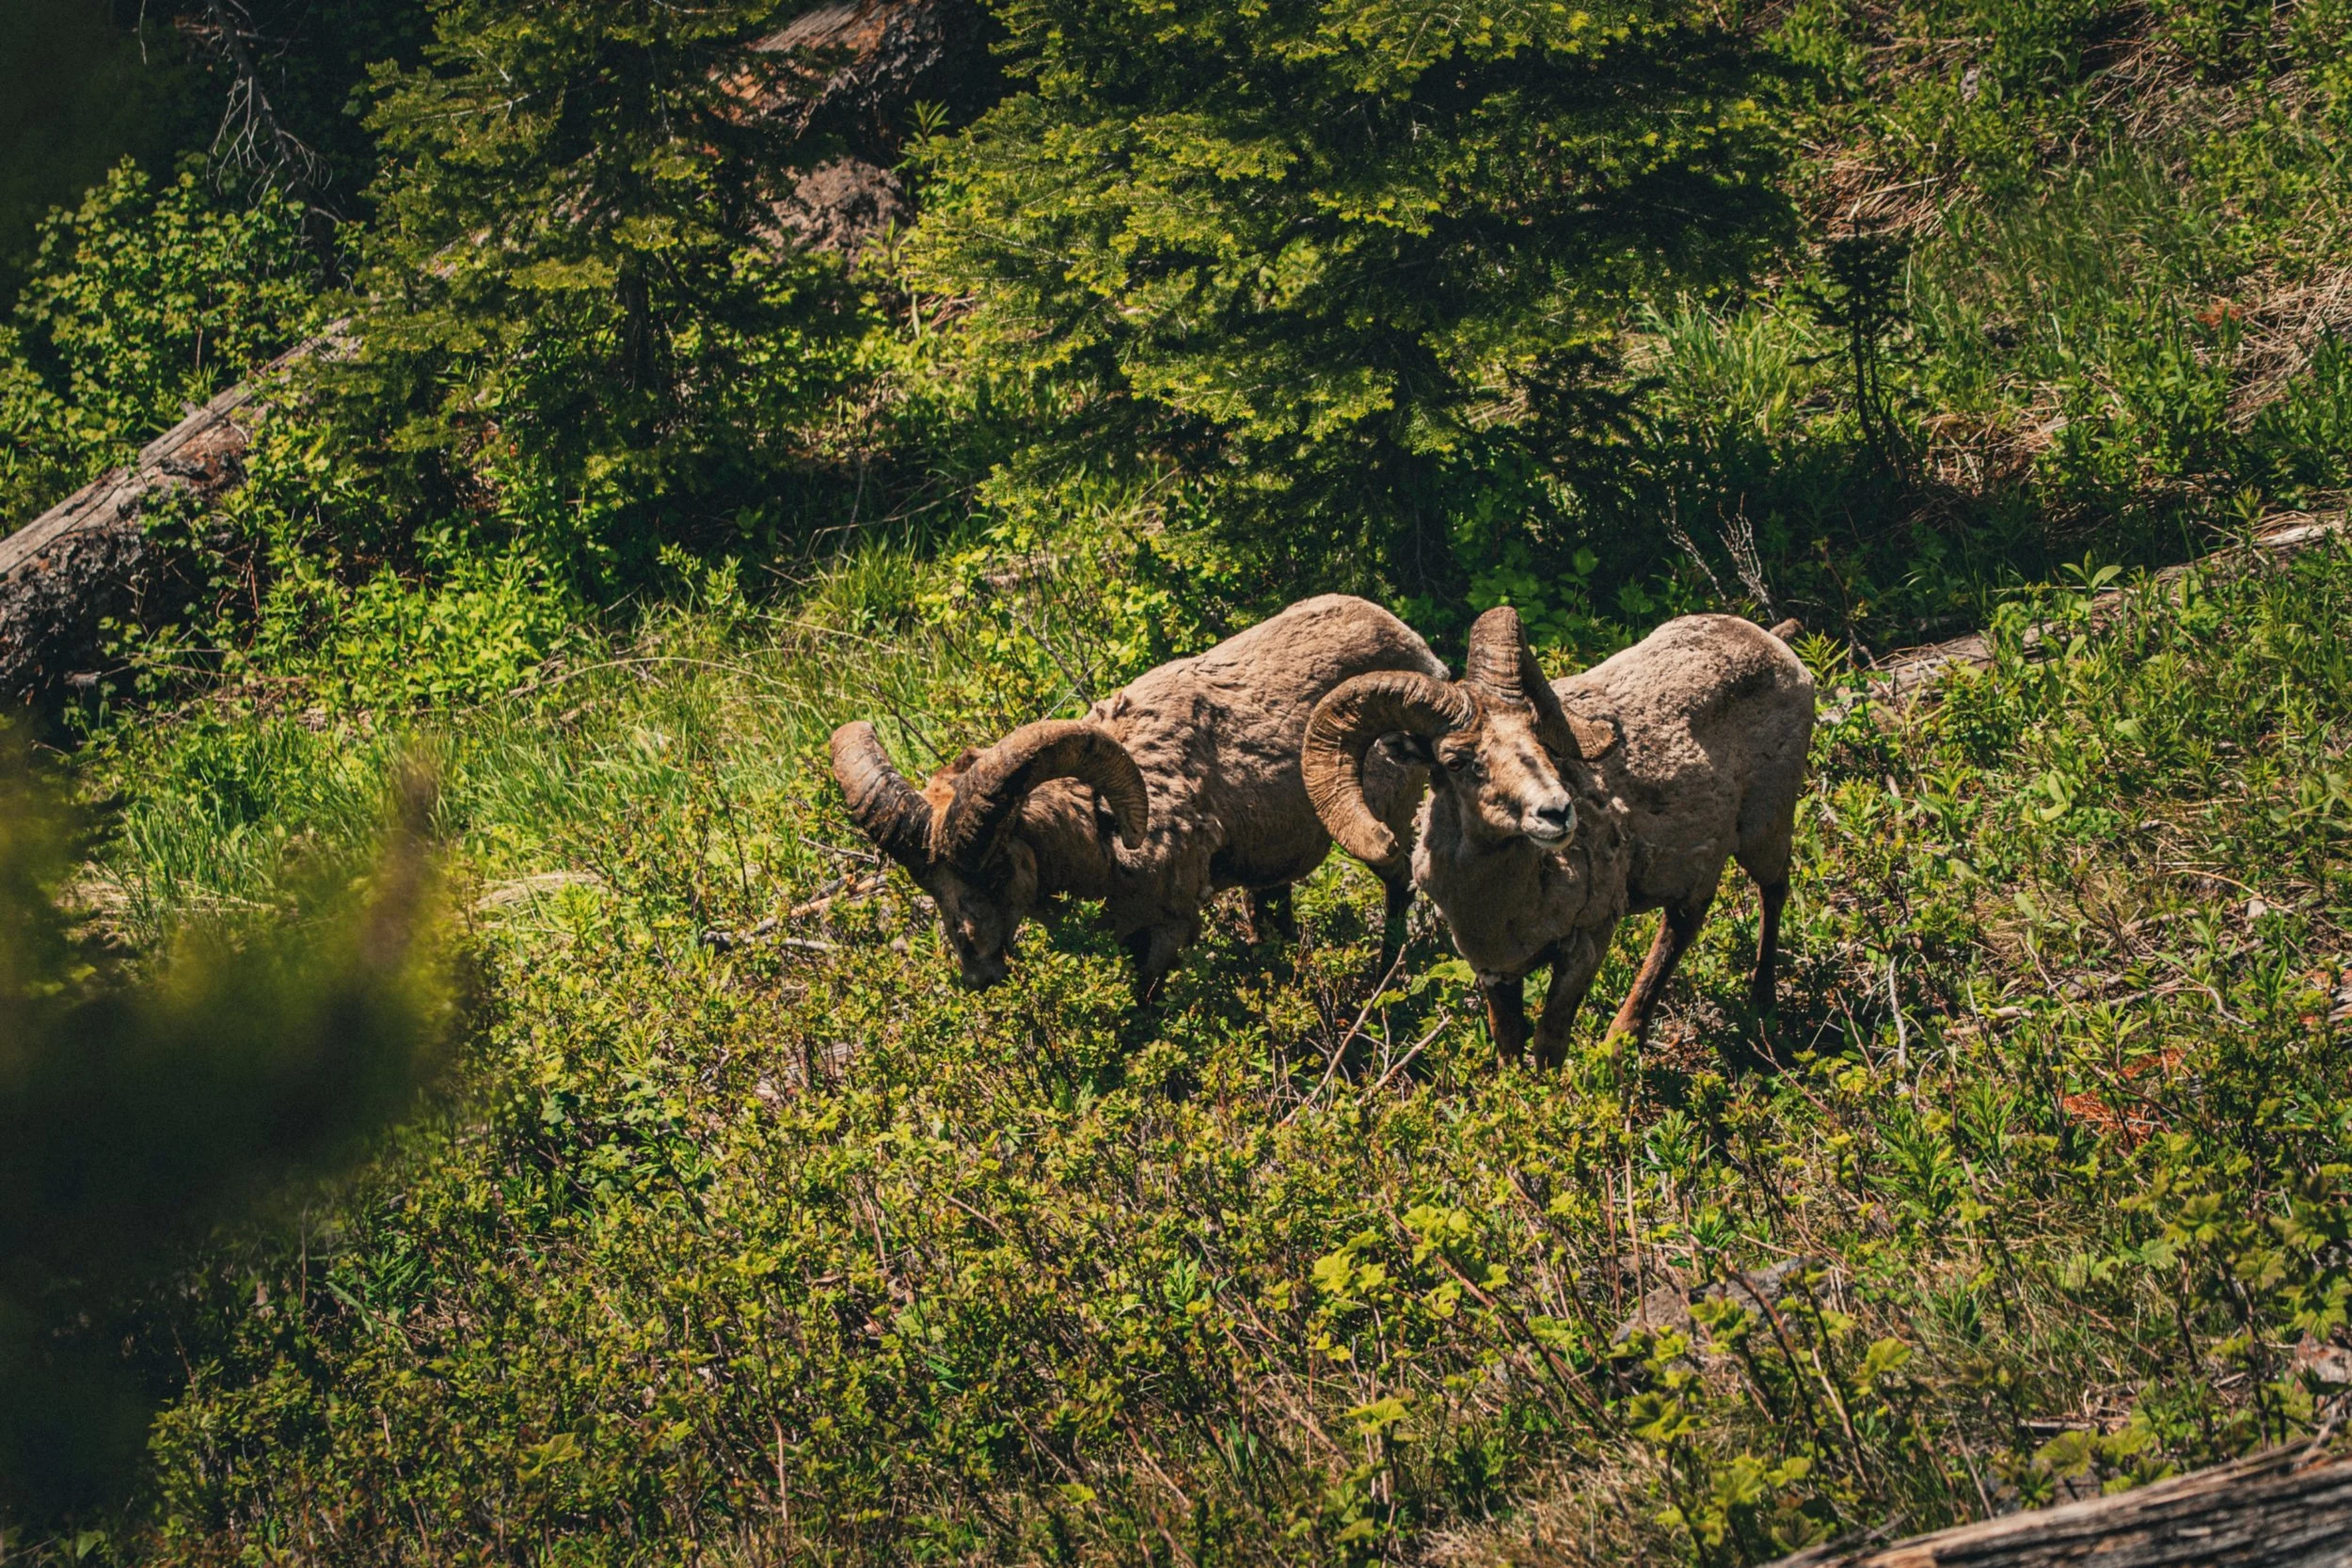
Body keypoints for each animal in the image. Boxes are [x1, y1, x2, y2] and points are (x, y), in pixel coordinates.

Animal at [830, 594, 1446, 997]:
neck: (1103, 843)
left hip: (1381, 819)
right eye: (929, 884)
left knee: (1399, 884)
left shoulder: (1167, 933)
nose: (978, 970)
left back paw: (1386, 981)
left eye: (998, 867)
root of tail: (1416, 647)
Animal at [1302, 606, 1814, 1065]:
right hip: (1697, 866)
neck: (1505, 904)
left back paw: (1758, 1007)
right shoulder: (1494, 970)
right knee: (1684, 924)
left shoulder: (1586, 943)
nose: (1557, 813)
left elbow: (1550, 1039)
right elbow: (1508, 1042)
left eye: (1536, 735)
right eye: (1456, 761)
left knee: (1772, 891)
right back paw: (1628, 1037)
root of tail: (1777, 646)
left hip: (1765, 829)